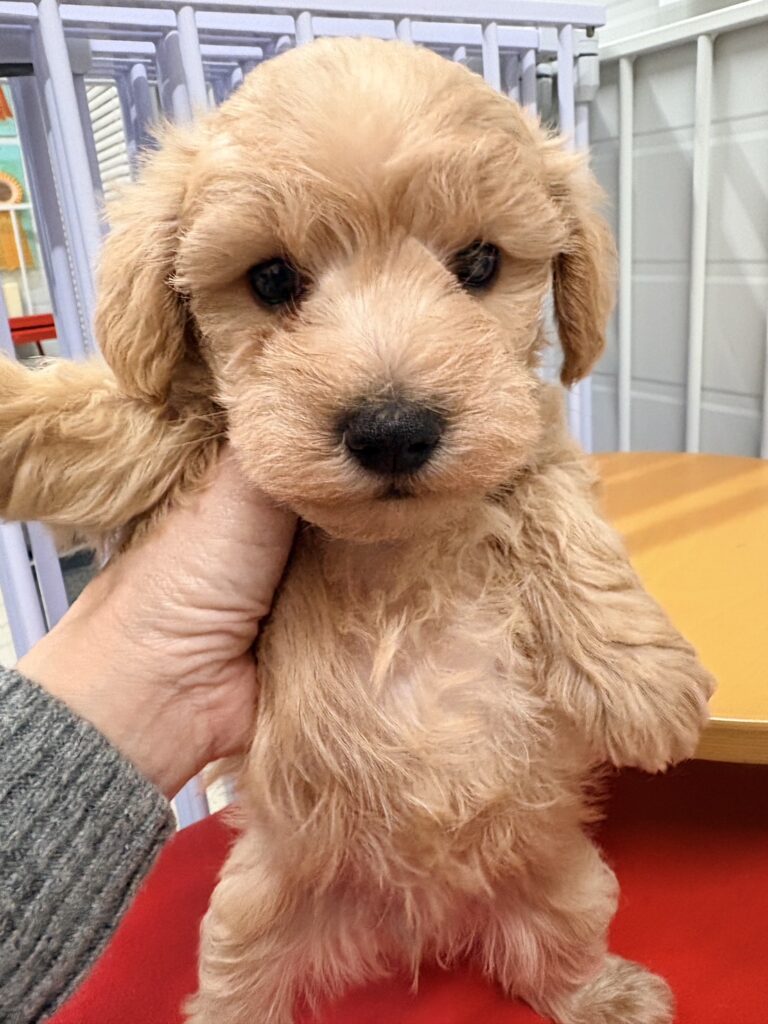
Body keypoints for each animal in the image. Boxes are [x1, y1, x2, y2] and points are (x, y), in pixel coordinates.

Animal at [0, 38, 714, 1024]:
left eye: (480, 263)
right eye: (270, 279)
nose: (393, 429)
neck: (392, 543)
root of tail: (418, 919)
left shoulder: (528, 437)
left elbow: (559, 508)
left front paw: (641, 678)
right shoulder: (210, 443)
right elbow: (112, 415)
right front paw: (16, 409)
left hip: (563, 878)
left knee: (554, 953)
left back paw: (608, 994)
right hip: (250, 913)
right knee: (237, 992)